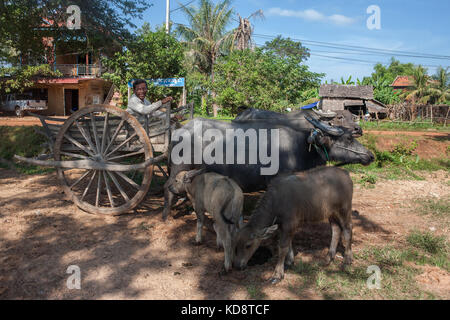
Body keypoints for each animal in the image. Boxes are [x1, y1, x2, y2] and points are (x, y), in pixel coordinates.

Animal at [162, 116, 372, 221]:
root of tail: (180, 128)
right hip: (178, 167)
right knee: (169, 187)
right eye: (348, 138)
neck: (299, 147)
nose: (370, 155)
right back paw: (166, 216)